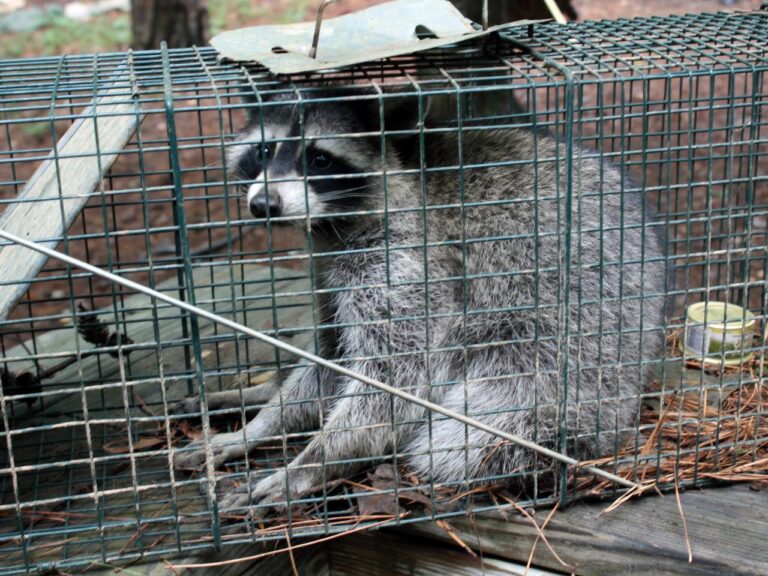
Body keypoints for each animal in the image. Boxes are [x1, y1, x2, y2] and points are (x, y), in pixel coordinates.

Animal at [173, 87, 667, 514]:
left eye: (319, 158)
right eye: (264, 151)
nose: (264, 204)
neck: (338, 224)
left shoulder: (410, 265)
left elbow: (394, 385)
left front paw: (310, 464)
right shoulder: (331, 275)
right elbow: (327, 366)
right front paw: (258, 426)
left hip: (564, 353)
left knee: (462, 436)